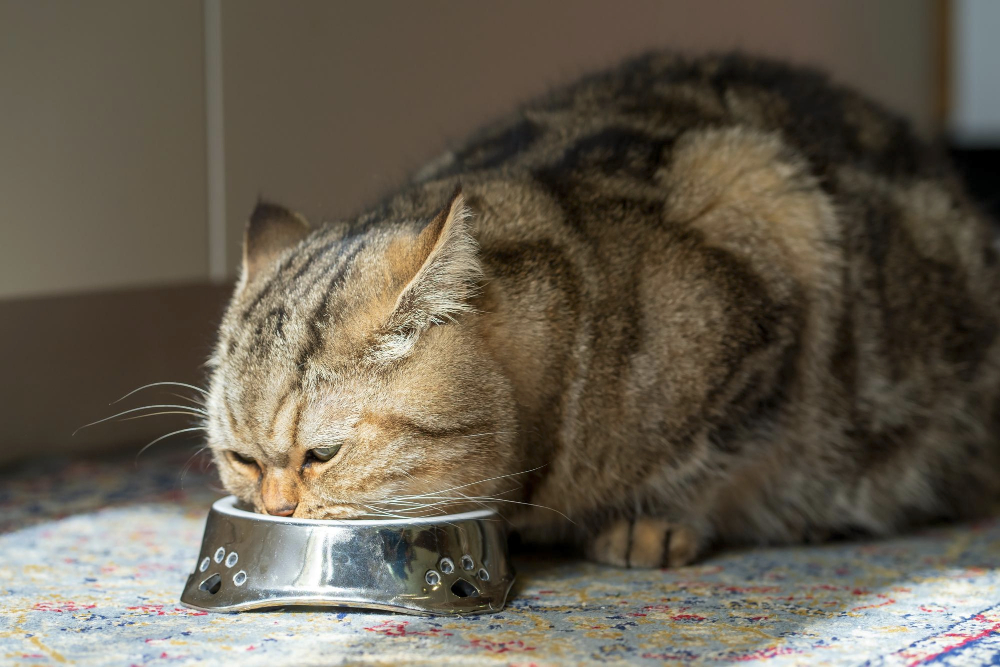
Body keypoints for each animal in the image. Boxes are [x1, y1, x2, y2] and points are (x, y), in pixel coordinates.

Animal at [203, 53, 1000, 568]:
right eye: (240, 459)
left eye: (323, 454)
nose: (274, 511)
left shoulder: (769, 231)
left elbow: (713, 459)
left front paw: (648, 523)